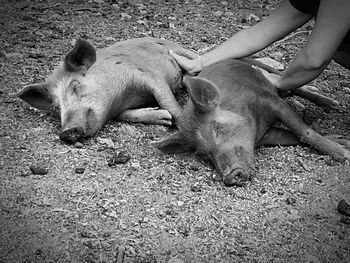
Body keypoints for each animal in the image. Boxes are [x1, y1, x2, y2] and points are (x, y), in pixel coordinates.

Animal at [10, 38, 197, 143]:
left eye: (75, 86)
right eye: (57, 108)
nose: (66, 132)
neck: (123, 98)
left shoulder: (146, 75)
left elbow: (167, 100)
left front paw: (179, 122)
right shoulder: (120, 110)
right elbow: (129, 116)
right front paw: (165, 118)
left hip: (179, 49)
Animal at [153, 59, 350, 188]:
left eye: (218, 128)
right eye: (204, 154)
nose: (230, 176)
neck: (257, 127)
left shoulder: (270, 101)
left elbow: (304, 132)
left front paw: (345, 154)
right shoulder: (268, 135)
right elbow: (295, 137)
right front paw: (343, 141)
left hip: (270, 75)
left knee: (293, 85)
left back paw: (332, 104)